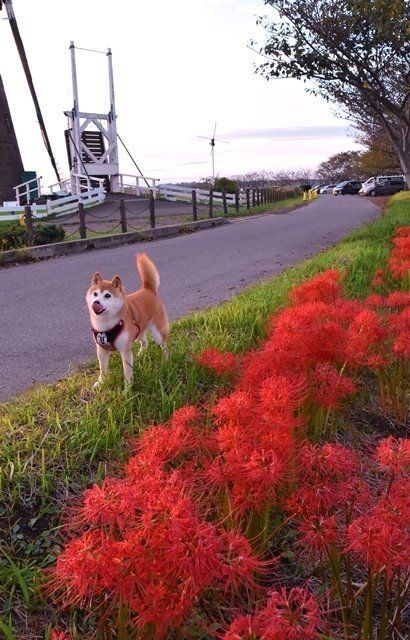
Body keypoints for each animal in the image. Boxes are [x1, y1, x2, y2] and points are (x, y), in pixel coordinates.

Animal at [86, 253, 169, 389]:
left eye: (107, 295)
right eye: (95, 294)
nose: (96, 303)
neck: (106, 324)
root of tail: (147, 289)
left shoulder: (125, 350)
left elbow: (127, 371)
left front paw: (128, 388)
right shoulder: (101, 350)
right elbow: (103, 369)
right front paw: (100, 382)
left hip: (157, 333)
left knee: (164, 345)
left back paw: (166, 359)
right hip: (138, 331)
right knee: (145, 341)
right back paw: (141, 353)